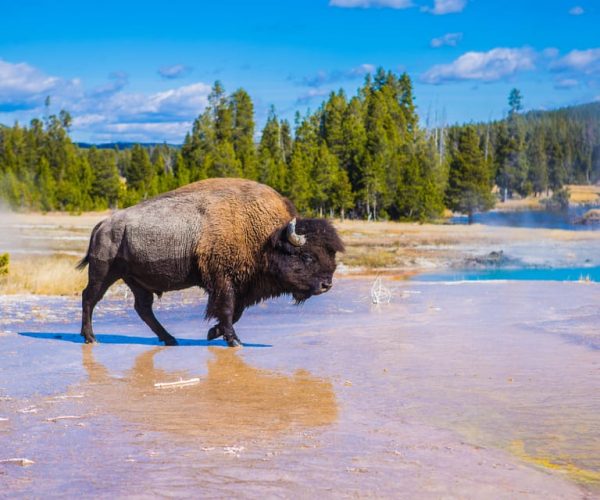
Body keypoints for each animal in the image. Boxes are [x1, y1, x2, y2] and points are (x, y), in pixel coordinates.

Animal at [77, 179, 344, 348]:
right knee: (89, 298)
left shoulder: (241, 286)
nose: (326, 285)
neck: (265, 237)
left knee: (143, 308)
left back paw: (170, 339)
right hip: (104, 272)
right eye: (307, 256)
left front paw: (212, 333)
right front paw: (233, 340)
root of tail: (103, 225)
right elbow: (227, 310)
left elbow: (235, 312)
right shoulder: (222, 281)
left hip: (136, 281)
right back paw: (91, 338)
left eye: (331, 255)